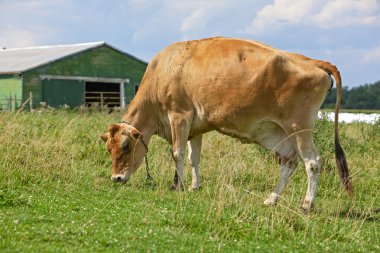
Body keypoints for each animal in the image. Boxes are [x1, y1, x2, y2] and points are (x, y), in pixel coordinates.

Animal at [99, 37, 352, 211]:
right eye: (109, 149)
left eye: (126, 147)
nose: (116, 178)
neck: (162, 71)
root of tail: (313, 61)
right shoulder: (195, 126)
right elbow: (193, 157)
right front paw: (194, 186)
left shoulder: (179, 115)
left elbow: (177, 153)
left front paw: (177, 185)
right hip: (277, 133)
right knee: (289, 161)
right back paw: (271, 198)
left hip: (299, 127)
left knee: (312, 162)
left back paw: (307, 204)